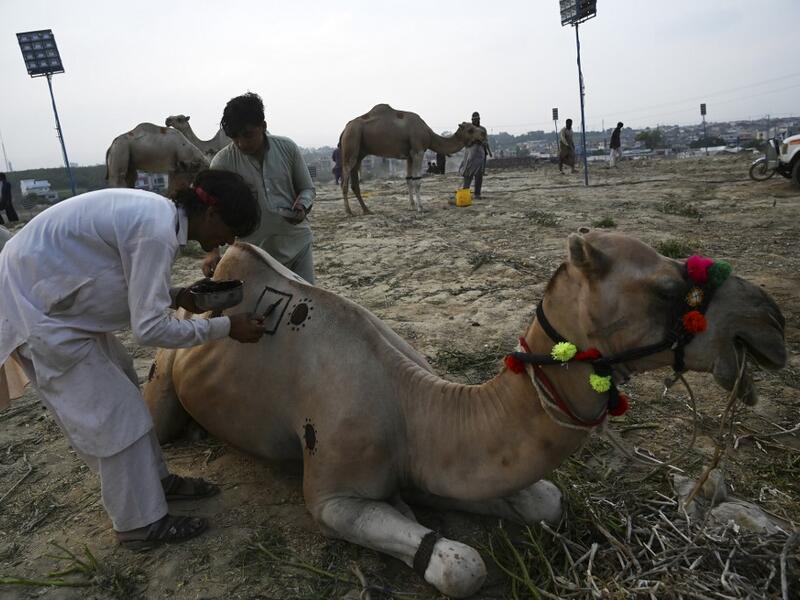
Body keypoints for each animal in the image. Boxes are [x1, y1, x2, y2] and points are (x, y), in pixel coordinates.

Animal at [144, 231, 785, 598]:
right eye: (667, 289)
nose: (772, 322)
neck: (416, 407)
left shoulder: (432, 463)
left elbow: (544, 500)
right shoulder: (330, 495)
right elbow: (462, 564)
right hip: (163, 370)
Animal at [339, 104, 487, 215]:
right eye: (470, 130)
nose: (483, 133)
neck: (429, 134)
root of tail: (345, 129)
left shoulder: (409, 156)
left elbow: (409, 180)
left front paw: (411, 206)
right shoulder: (418, 151)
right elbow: (417, 180)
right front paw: (421, 208)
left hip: (359, 152)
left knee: (355, 182)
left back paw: (367, 210)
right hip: (352, 141)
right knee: (345, 178)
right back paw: (349, 211)